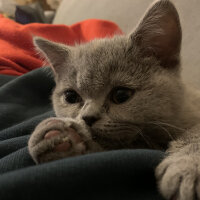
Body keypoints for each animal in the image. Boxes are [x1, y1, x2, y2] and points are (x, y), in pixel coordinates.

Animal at [28, 0, 200, 199]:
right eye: (71, 97)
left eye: (121, 95)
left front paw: (186, 167)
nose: (88, 117)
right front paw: (60, 139)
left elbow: (195, 133)